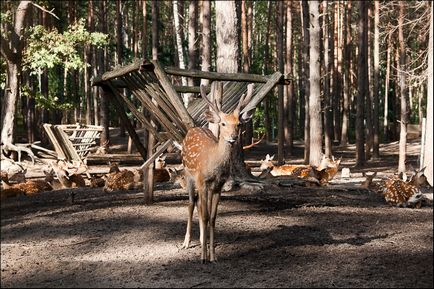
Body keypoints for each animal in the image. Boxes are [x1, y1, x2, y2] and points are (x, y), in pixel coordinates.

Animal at [181, 82, 256, 262]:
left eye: (239, 124)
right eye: (222, 124)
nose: (233, 137)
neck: (214, 165)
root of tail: (192, 129)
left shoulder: (218, 185)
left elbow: (212, 217)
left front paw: (213, 256)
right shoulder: (201, 181)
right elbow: (205, 215)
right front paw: (203, 257)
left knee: (201, 206)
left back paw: (202, 240)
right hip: (188, 175)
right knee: (192, 203)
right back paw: (186, 242)